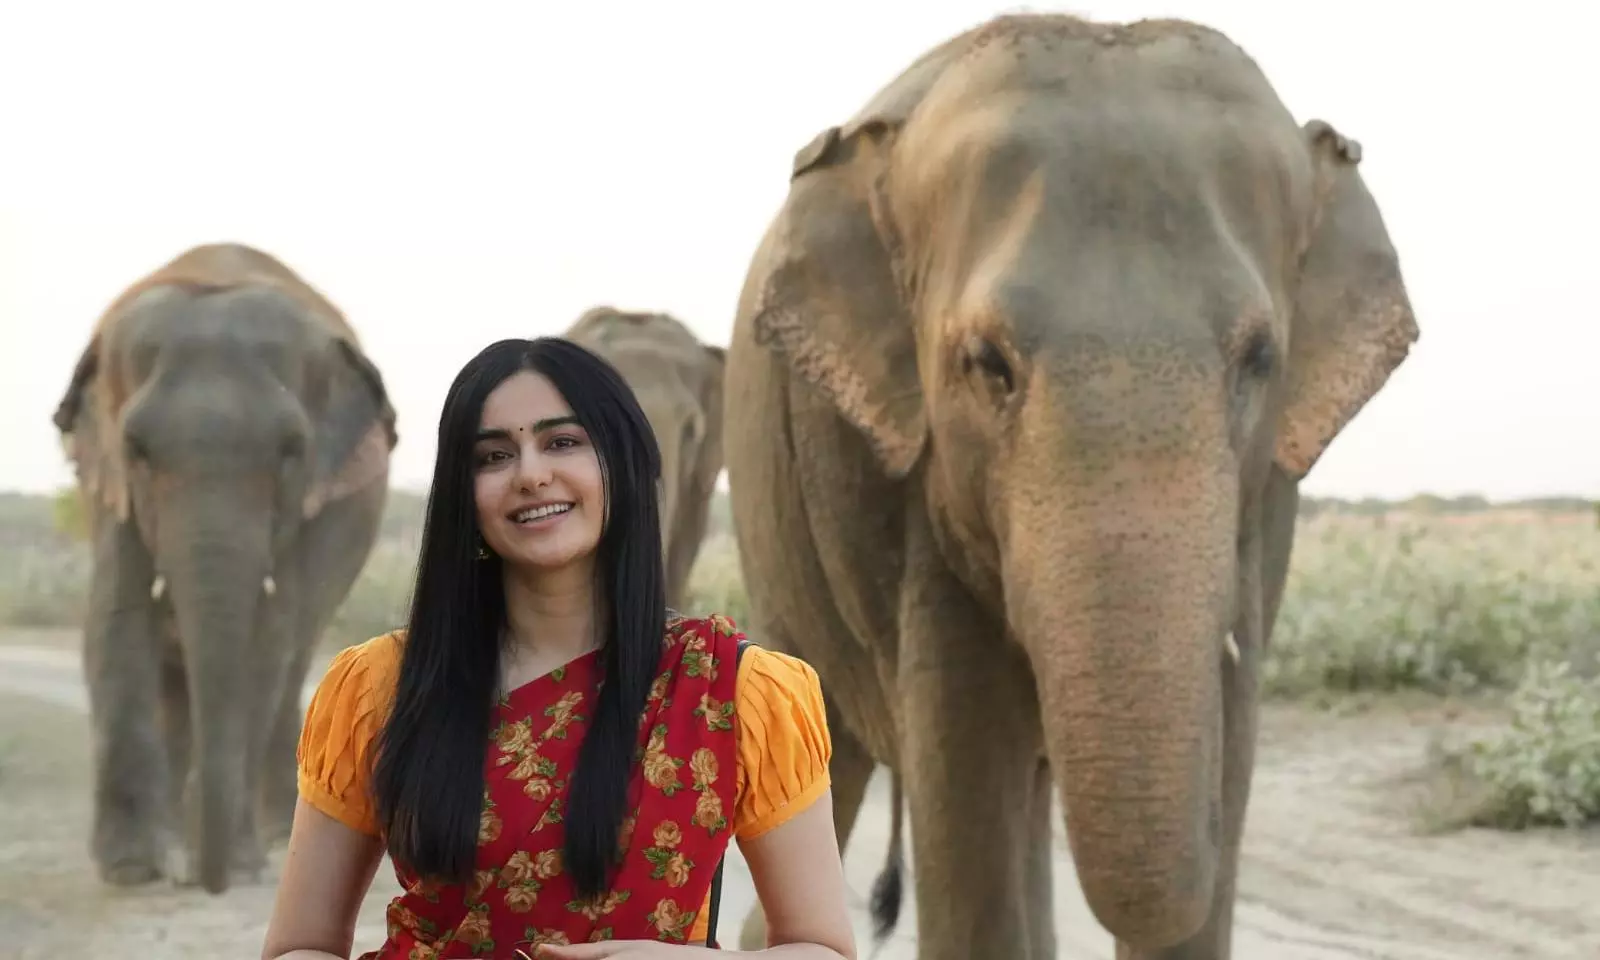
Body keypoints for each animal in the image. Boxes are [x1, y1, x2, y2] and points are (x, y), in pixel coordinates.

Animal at [51, 241, 397, 895]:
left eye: (291, 451)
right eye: (136, 450)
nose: (203, 881)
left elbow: (265, 644)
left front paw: (234, 865)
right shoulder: (110, 488)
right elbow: (115, 617)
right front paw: (132, 872)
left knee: (293, 666)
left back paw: (274, 838)